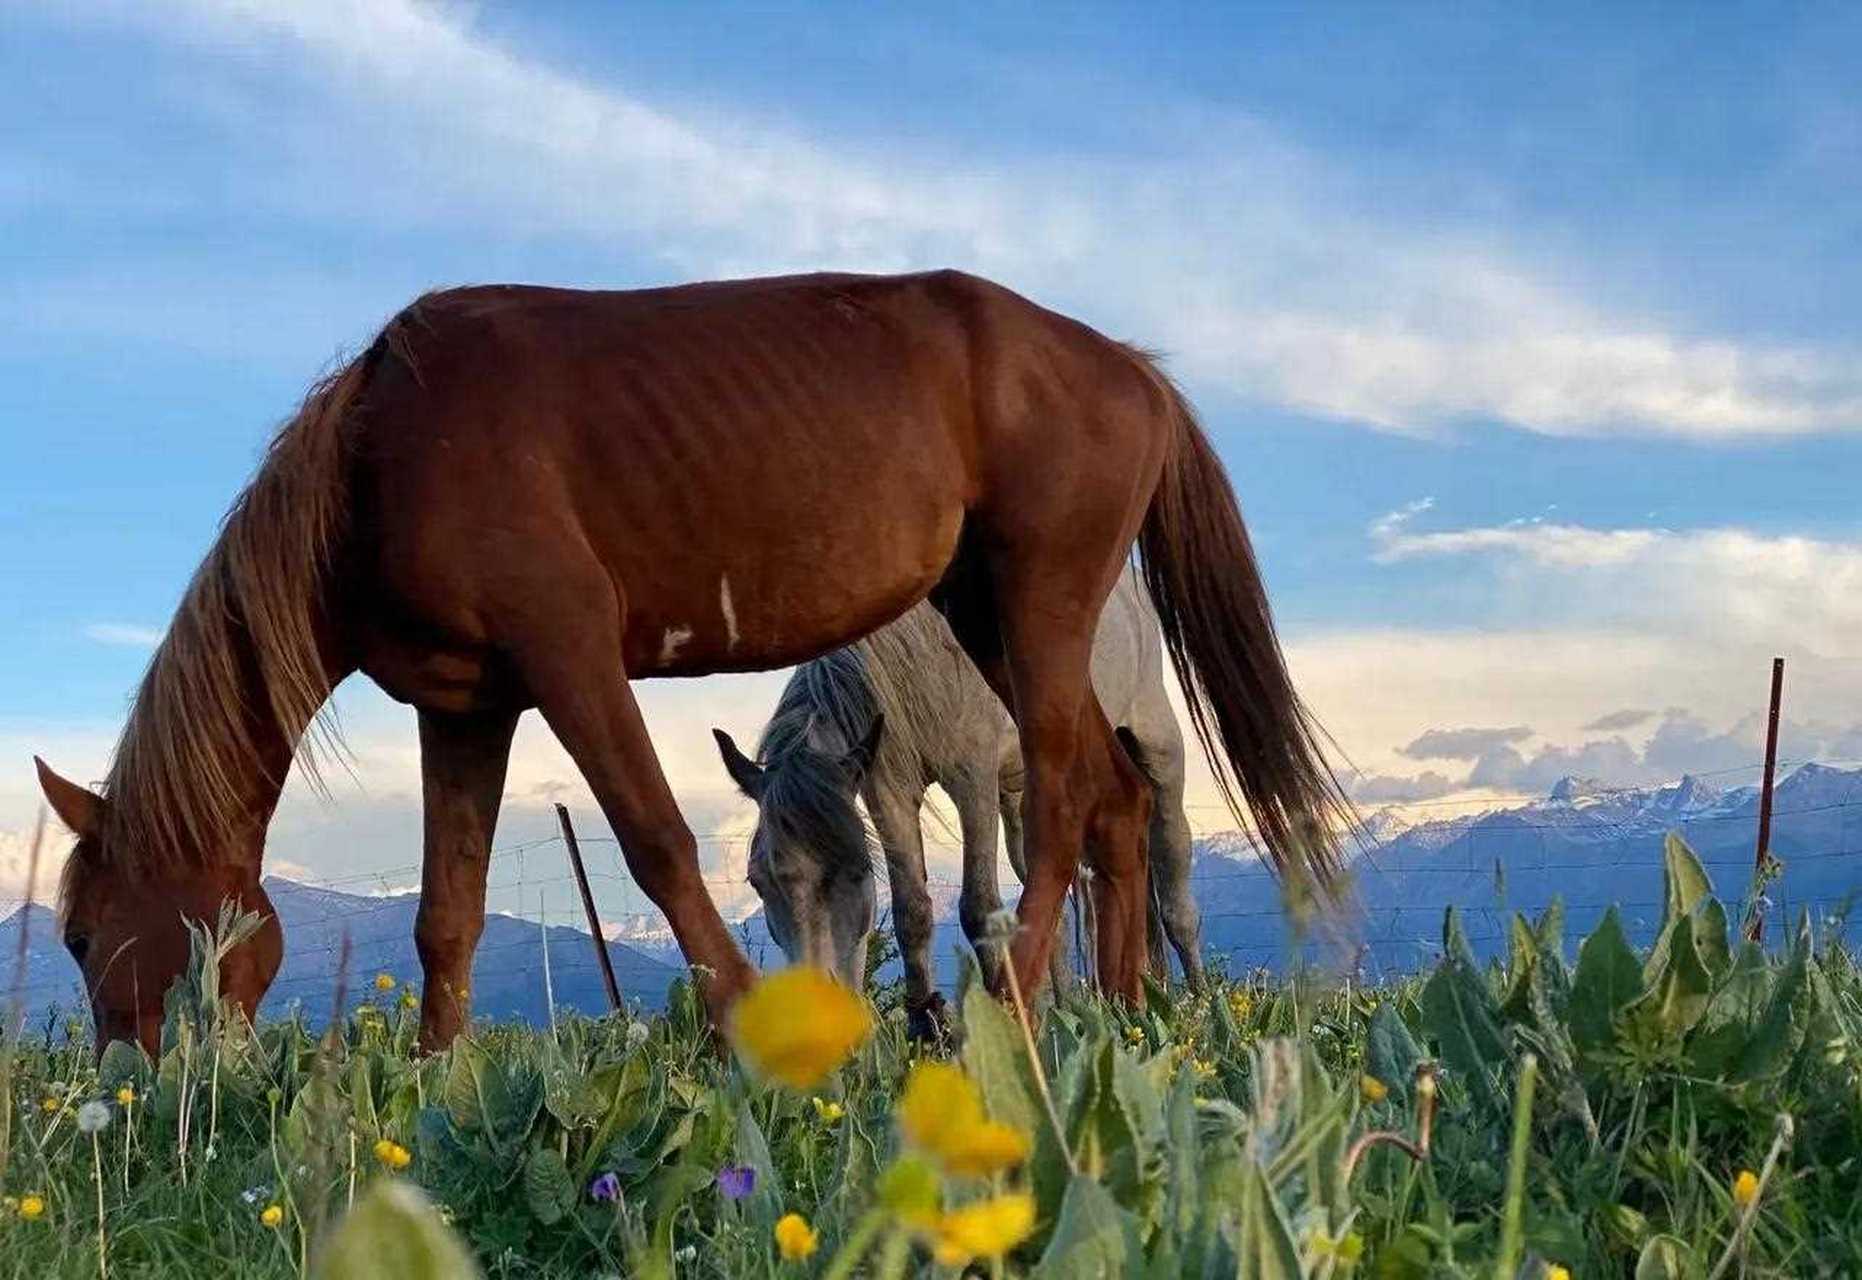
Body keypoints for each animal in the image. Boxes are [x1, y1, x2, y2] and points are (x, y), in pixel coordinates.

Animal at [703, 570, 1199, 1043]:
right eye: (758, 880)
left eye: (856, 873)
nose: (807, 1013)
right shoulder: (889, 791)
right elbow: (912, 910)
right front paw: (926, 1026)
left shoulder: (972, 776)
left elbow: (979, 907)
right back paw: (1074, 1008)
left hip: (1158, 746)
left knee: (1174, 887)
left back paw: (1196, 1001)